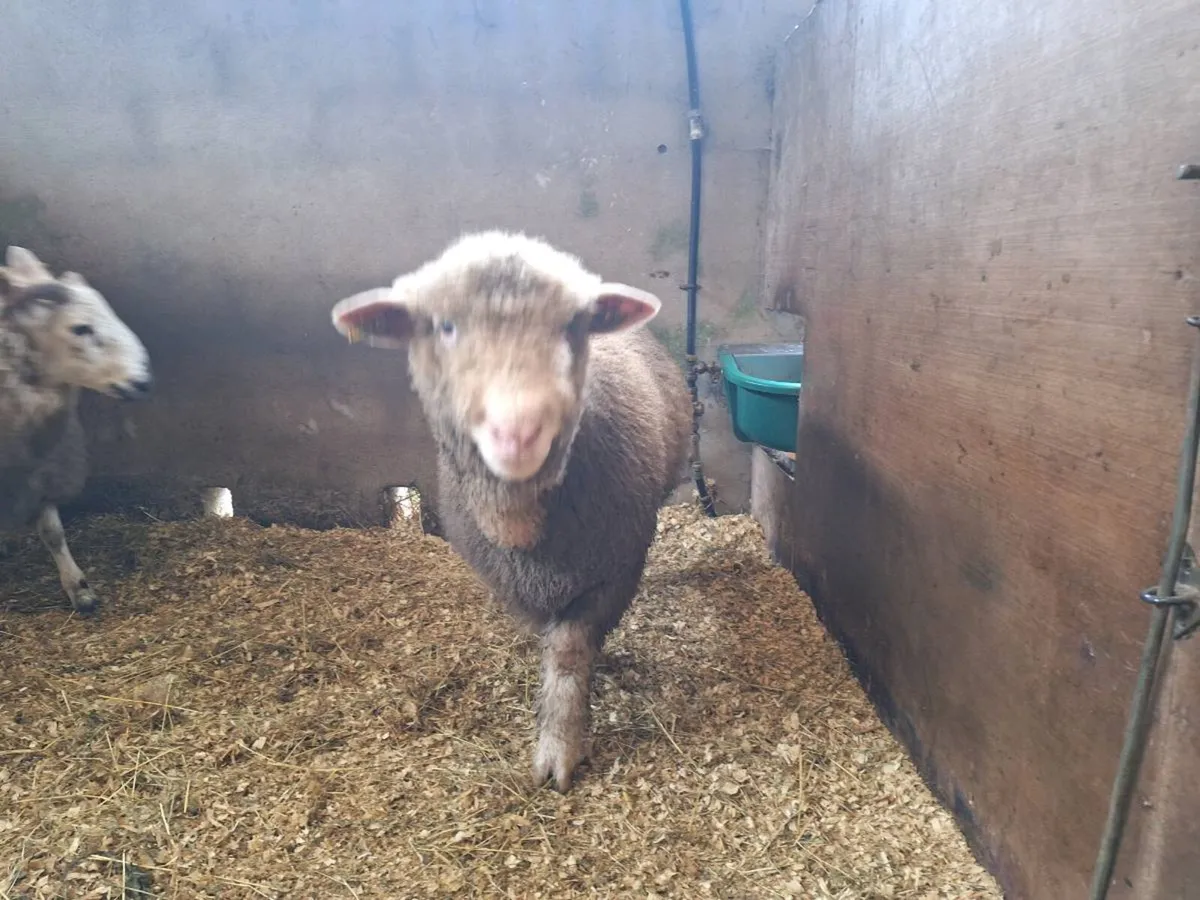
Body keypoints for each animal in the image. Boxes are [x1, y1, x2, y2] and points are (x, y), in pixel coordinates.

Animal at [331, 231, 693, 791]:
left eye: (573, 325)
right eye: (446, 326)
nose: (518, 432)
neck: (519, 525)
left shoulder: (613, 571)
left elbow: (568, 653)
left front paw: (558, 749)